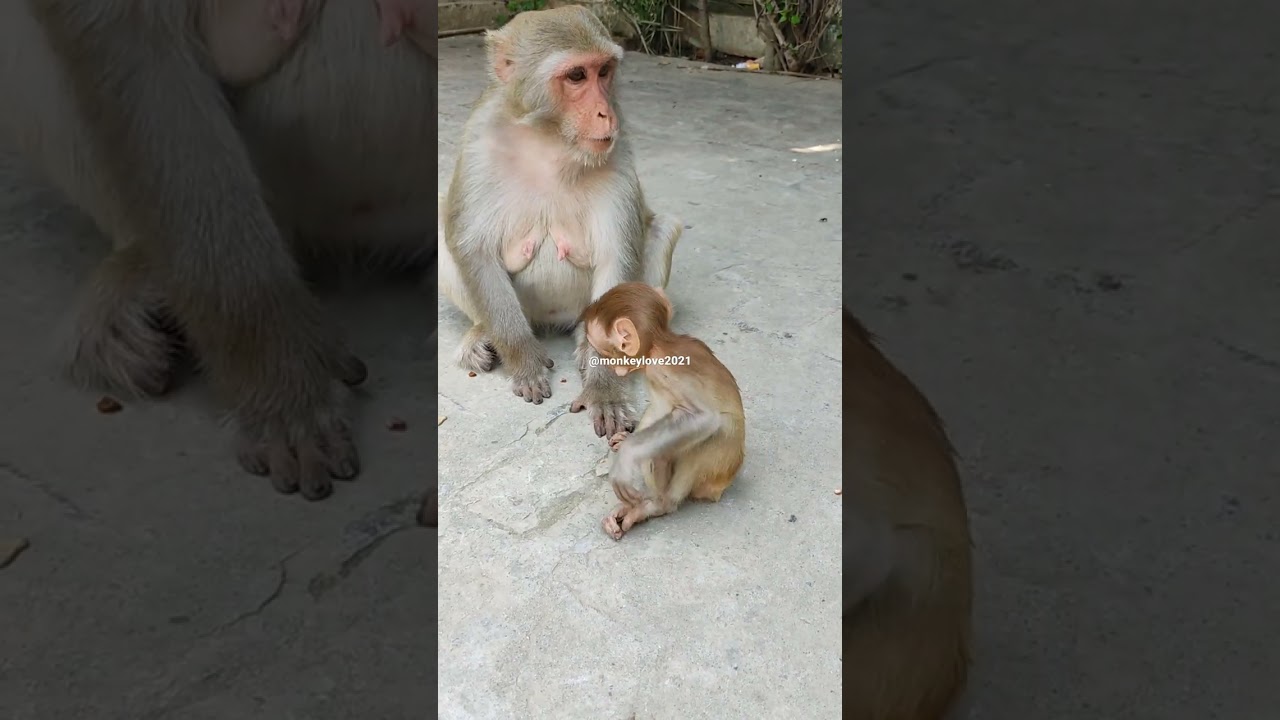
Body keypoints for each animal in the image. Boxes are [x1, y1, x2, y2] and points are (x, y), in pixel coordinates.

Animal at [437, 6, 684, 438]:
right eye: (576, 76)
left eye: (604, 71)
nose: (606, 112)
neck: (549, 137)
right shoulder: (480, 137)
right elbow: (471, 247)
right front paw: (523, 360)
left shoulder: (618, 149)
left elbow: (617, 257)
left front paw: (605, 389)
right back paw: (484, 333)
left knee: (659, 230)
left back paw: (593, 346)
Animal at [578, 283, 745, 540]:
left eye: (605, 354)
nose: (614, 370)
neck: (659, 345)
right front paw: (625, 439)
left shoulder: (664, 368)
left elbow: (703, 418)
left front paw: (627, 454)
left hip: (718, 463)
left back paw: (658, 504)